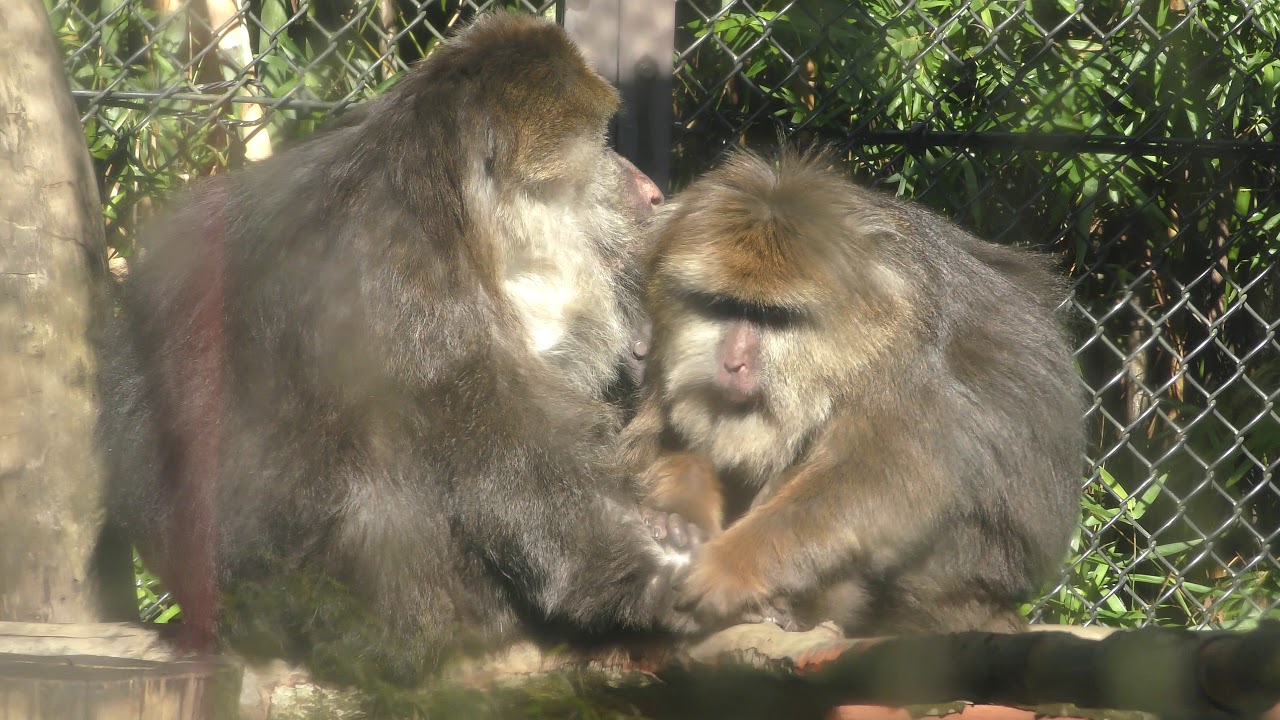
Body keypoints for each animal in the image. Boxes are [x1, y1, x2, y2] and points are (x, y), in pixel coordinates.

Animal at [97, 12, 701, 681]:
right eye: (598, 149)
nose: (649, 190)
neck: (447, 204)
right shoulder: (401, 269)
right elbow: (500, 447)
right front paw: (644, 577)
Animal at [624, 149, 1085, 632]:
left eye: (774, 318)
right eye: (721, 306)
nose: (734, 361)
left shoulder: (904, 363)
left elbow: (894, 478)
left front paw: (731, 566)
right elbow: (662, 436)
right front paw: (682, 519)